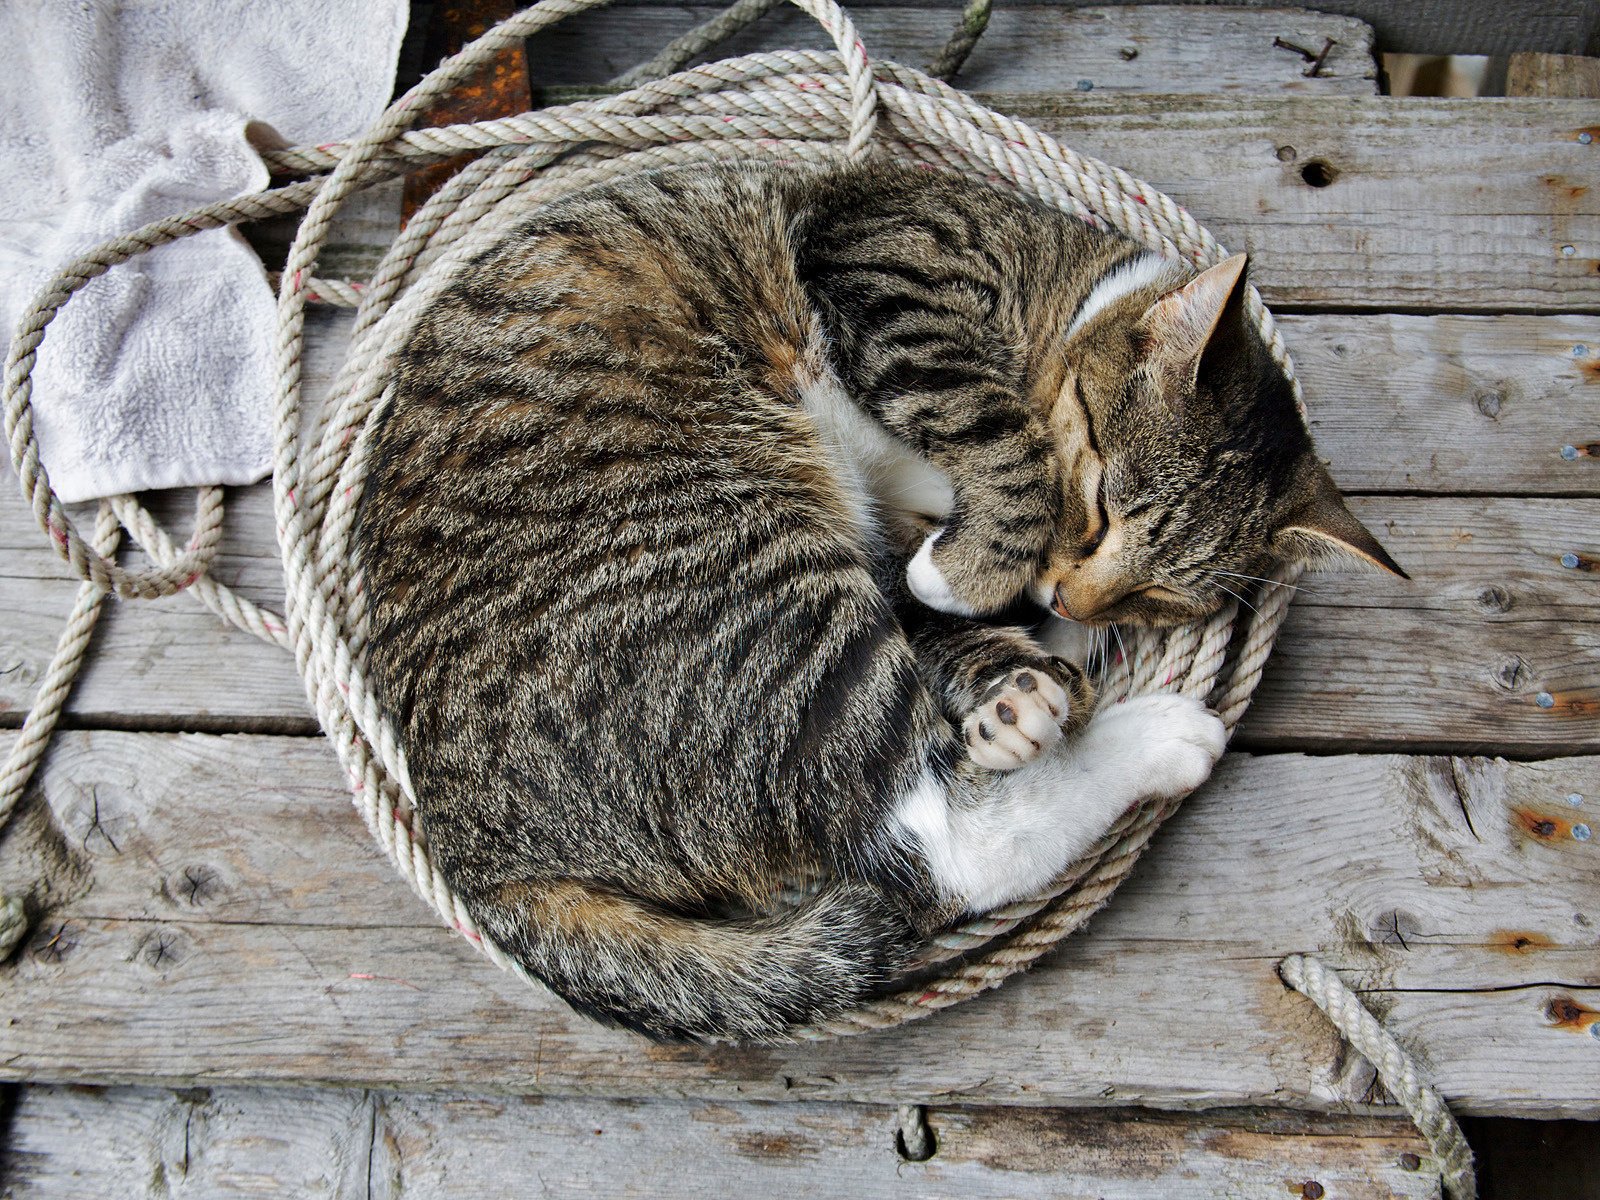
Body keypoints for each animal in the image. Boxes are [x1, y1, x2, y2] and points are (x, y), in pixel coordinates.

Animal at [353, 160, 1401, 1043]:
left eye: (1153, 594)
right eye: (1103, 502)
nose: (1071, 596)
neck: (1054, 283)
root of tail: (482, 847)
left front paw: (1010, 666)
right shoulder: (887, 263)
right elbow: (997, 432)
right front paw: (980, 582)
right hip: (761, 584)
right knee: (940, 849)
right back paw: (1151, 737)